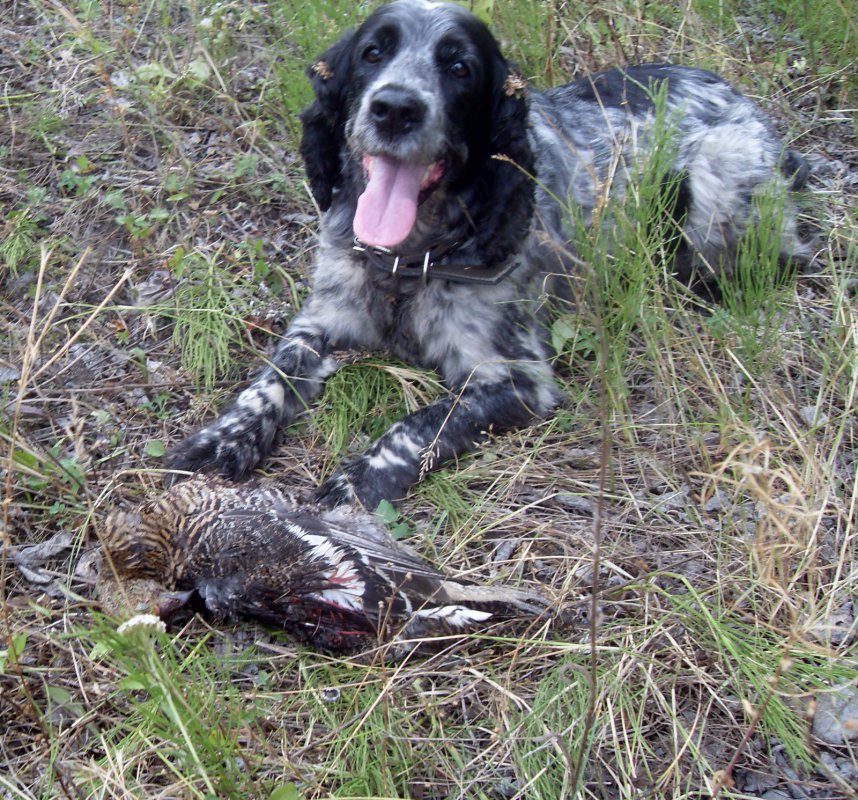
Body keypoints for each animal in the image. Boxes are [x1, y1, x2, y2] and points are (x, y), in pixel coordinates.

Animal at [169, 0, 808, 510]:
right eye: (372, 54)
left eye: (459, 68)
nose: (395, 108)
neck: (408, 261)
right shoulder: (320, 320)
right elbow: (269, 379)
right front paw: (219, 440)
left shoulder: (516, 379)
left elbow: (420, 423)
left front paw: (359, 481)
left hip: (719, 187)